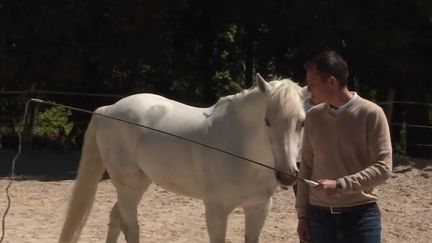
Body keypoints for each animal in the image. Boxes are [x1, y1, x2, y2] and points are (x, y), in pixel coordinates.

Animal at [59, 74, 308, 243]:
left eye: (302, 122)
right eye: (267, 121)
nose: (287, 175)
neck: (243, 153)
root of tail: (109, 109)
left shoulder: (259, 208)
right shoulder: (216, 211)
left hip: (139, 184)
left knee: (115, 219)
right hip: (128, 186)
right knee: (130, 227)